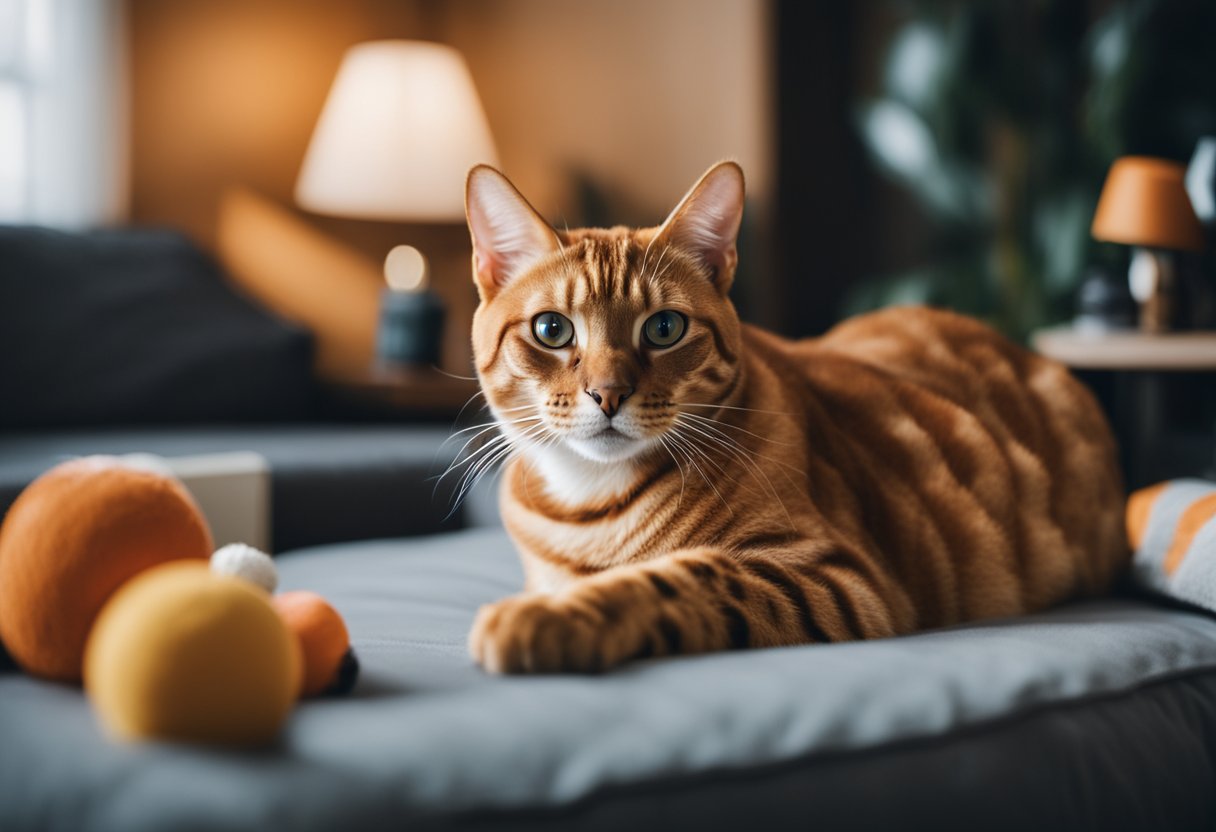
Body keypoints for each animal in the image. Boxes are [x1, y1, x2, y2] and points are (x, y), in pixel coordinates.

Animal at [462, 159, 1128, 671]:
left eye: (664, 328)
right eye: (552, 330)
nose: (608, 394)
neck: (594, 507)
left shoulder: (837, 578)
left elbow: (680, 576)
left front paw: (551, 617)